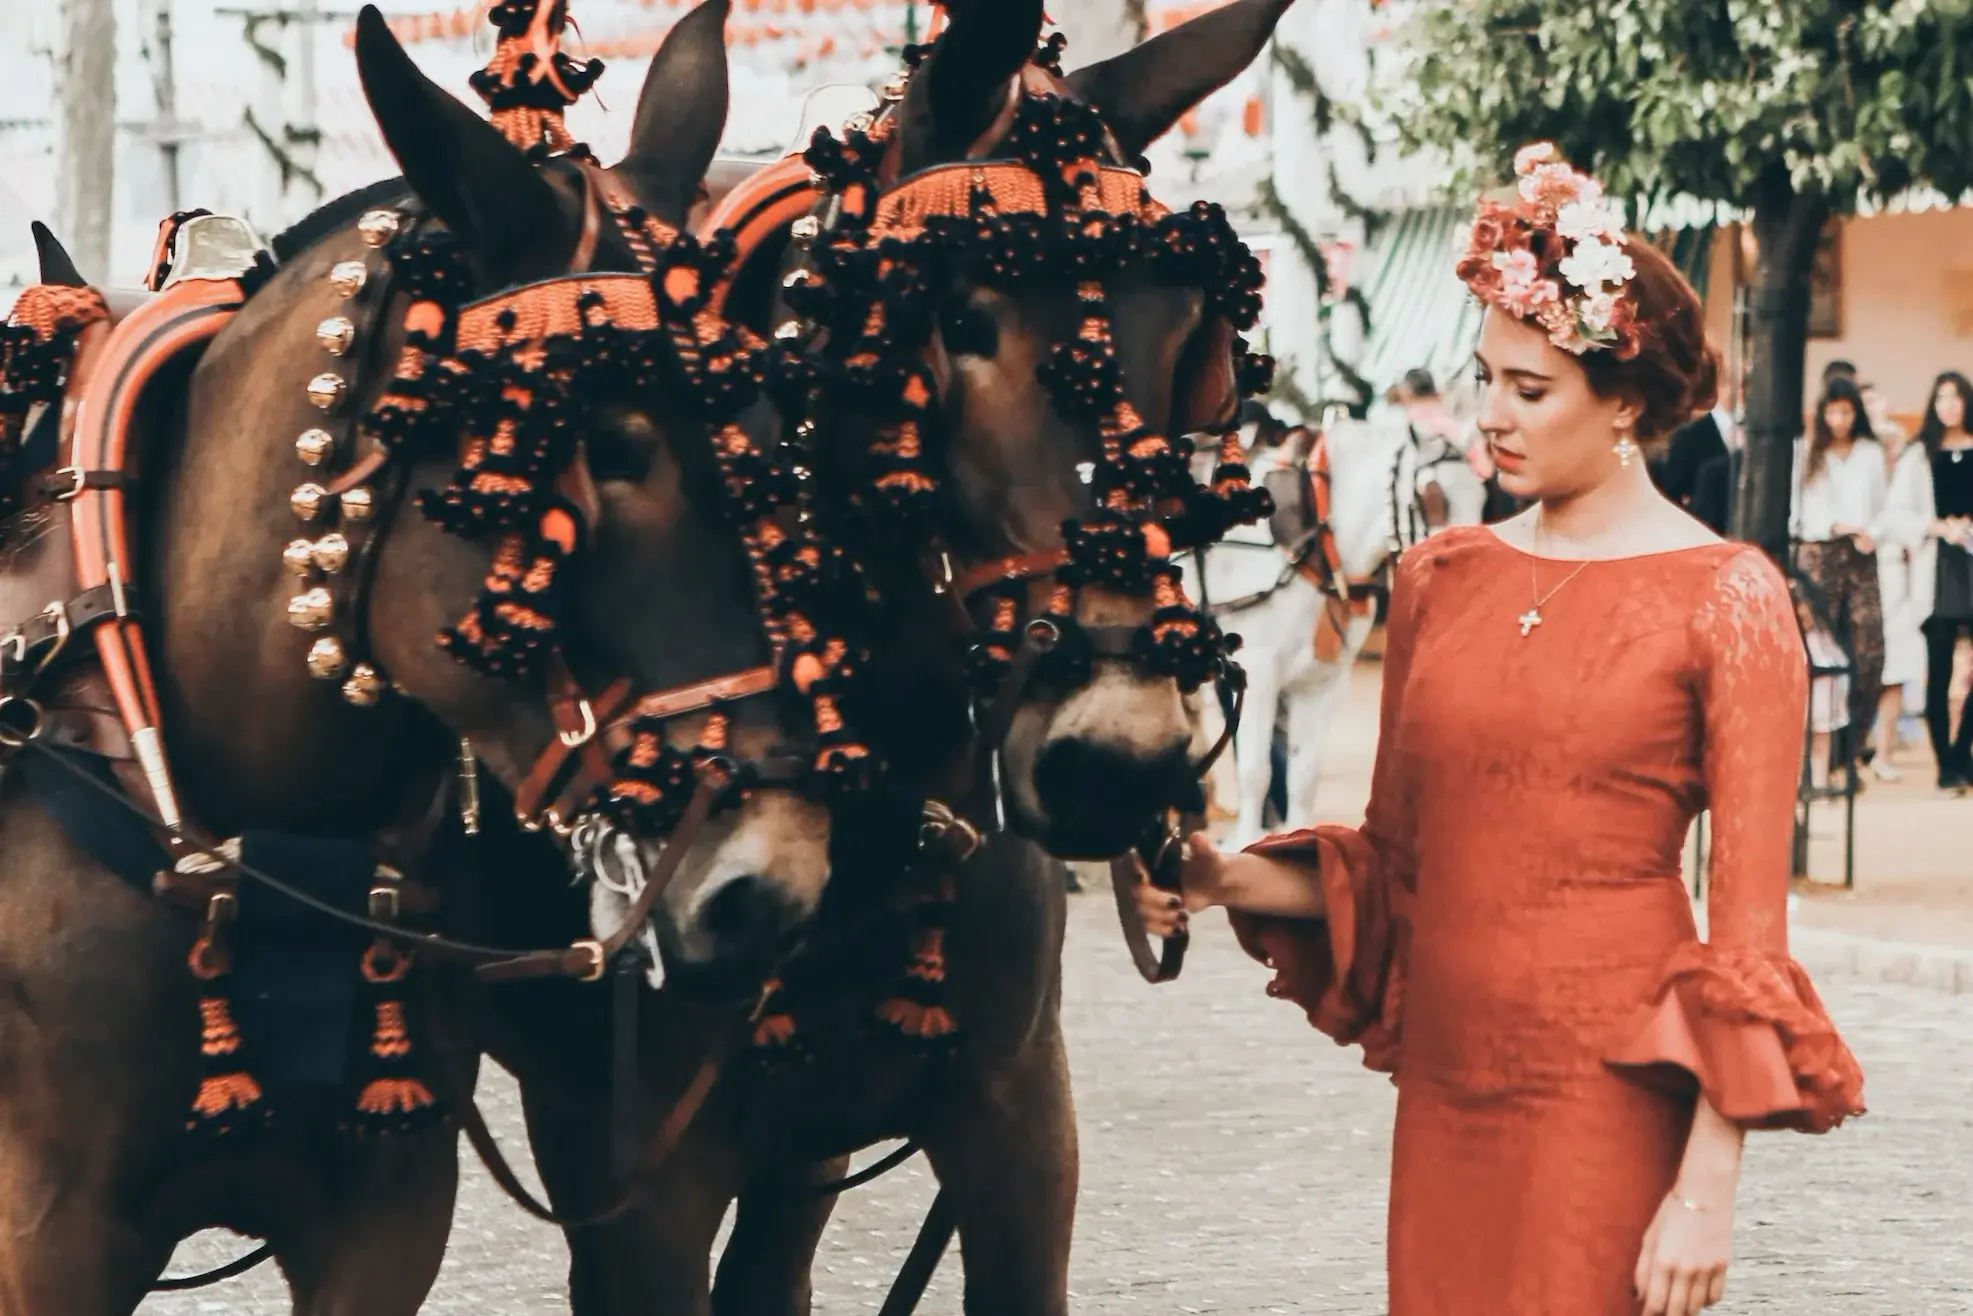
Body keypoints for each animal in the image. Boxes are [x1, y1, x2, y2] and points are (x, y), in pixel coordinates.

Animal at [1183, 424, 1483, 856]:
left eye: (1483, 494)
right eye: (1432, 496)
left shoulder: (1323, 681)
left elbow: (1304, 774)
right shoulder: (1259, 668)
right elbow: (1256, 768)